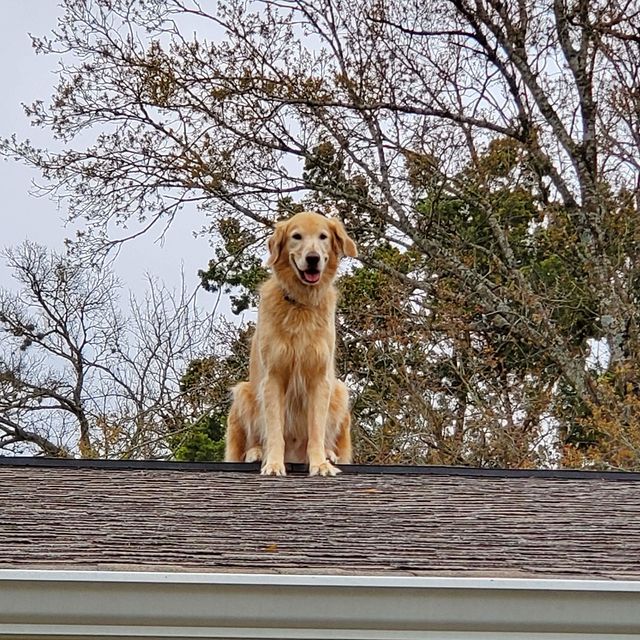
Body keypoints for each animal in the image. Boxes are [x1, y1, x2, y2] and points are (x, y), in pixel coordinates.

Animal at [224, 210, 356, 476]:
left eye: (323, 236)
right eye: (297, 236)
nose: (313, 258)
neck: (301, 304)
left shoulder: (320, 379)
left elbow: (316, 430)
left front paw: (320, 464)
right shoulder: (274, 377)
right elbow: (275, 429)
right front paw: (274, 464)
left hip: (339, 391)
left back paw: (328, 453)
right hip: (243, 392)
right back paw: (256, 452)